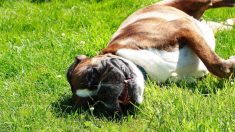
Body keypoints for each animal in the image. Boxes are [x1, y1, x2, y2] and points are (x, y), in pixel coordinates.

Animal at [66, 0, 235, 113]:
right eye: (96, 103)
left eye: (92, 74)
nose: (104, 92)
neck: (143, 68)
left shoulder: (183, 28)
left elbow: (215, 65)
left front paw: (231, 65)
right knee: (223, 22)